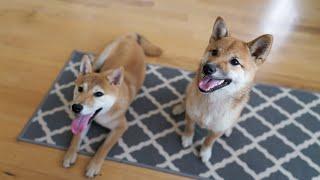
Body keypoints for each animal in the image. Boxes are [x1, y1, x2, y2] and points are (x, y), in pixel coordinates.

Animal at [63, 33, 162, 176]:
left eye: (98, 94)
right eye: (80, 89)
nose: (76, 107)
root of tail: (131, 38)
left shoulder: (120, 126)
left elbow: (104, 147)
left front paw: (94, 165)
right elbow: (76, 137)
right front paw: (70, 154)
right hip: (101, 58)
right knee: (95, 65)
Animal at [172, 16, 272, 162]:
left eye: (235, 62)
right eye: (214, 52)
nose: (207, 68)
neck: (213, 99)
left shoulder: (217, 130)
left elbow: (209, 140)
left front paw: (205, 152)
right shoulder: (191, 116)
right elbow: (189, 127)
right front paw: (187, 138)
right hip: (188, 88)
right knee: (186, 100)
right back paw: (180, 107)